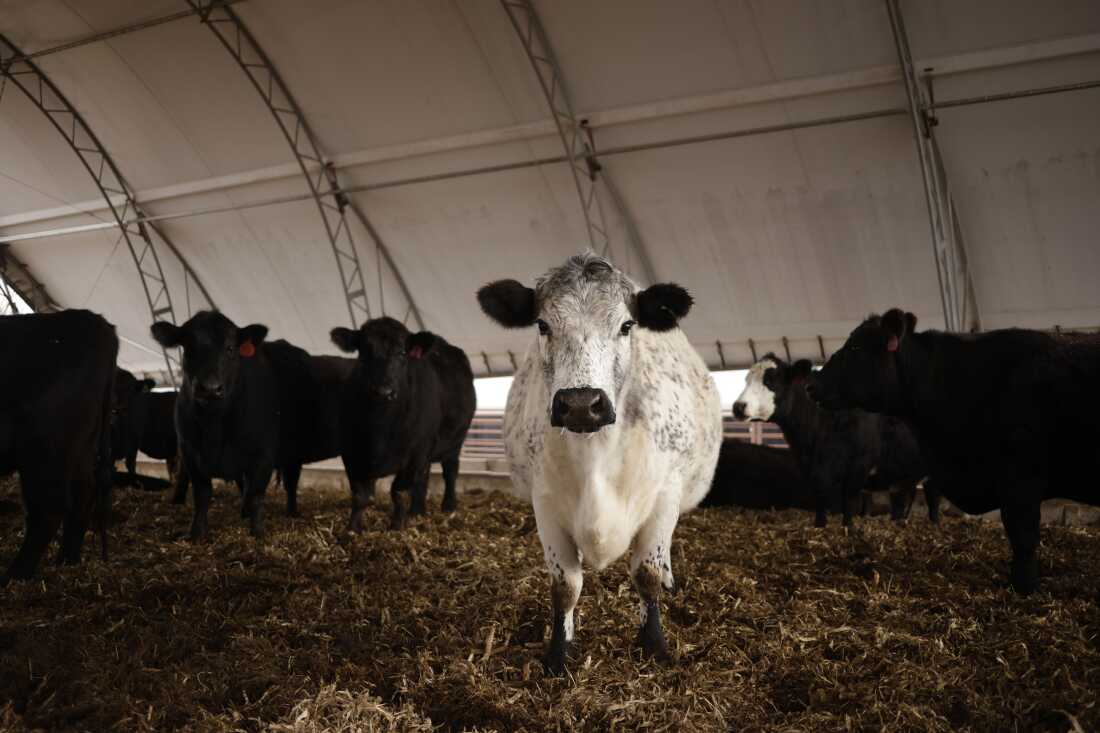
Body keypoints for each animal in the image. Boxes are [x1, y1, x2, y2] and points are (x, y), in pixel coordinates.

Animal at [1, 310, 117, 585]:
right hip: (80, 448)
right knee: (83, 492)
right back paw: (67, 560)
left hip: (45, 449)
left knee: (49, 509)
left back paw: (14, 575)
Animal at [330, 317, 476, 532]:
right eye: (364, 351)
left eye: (402, 352)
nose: (383, 391)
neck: (380, 427)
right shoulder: (352, 453)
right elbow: (361, 496)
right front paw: (352, 529)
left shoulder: (415, 454)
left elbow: (398, 492)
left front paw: (396, 526)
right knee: (424, 477)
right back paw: (417, 511)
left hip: (454, 441)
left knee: (450, 471)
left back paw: (448, 506)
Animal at [477, 253, 722, 675]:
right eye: (542, 324)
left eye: (626, 326)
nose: (580, 403)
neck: (595, 455)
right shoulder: (545, 503)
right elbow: (565, 587)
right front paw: (558, 653)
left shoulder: (665, 495)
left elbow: (647, 573)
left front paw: (654, 644)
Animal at [733, 355, 937, 527]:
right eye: (746, 380)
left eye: (770, 381)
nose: (738, 406)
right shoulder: (813, 474)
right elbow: (821, 506)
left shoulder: (858, 468)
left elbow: (849, 506)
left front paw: (849, 528)